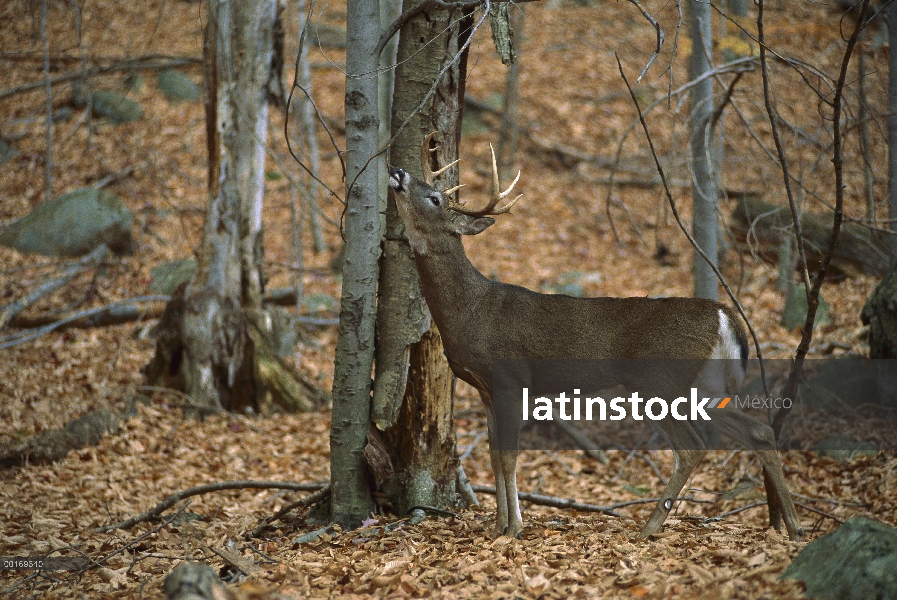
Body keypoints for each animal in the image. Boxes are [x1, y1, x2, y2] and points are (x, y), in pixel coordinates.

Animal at [384, 132, 804, 544]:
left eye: (436, 198)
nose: (398, 172)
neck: (472, 309)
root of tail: (723, 315)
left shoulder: (511, 379)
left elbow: (508, 456)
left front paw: (514, 528)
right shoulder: (486, 388)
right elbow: (493, 454)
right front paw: (498, 525)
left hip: (659, 381)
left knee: (692, 445)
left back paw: (649, 528)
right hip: (705, 383)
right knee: (758, 430)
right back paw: (794, 527)